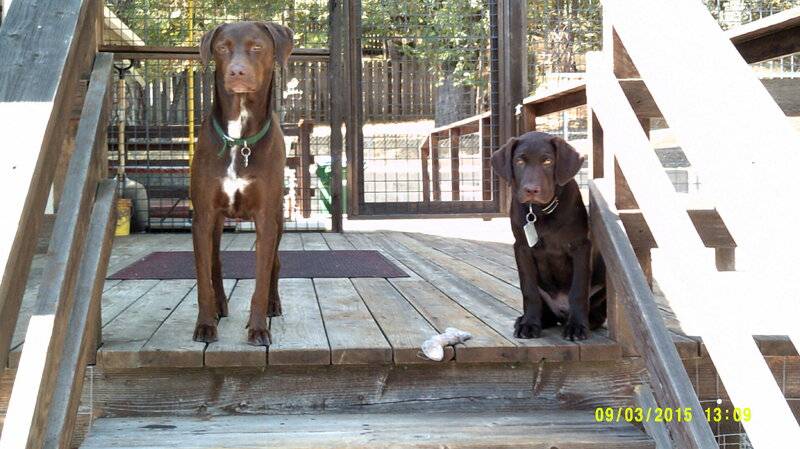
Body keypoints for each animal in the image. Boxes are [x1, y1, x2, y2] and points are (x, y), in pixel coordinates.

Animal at [191, 21, 294, 344]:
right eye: (222, 47)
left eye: (257, 47)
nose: (237, 72)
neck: (239, 139)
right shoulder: (203, 216)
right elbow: (204, 279)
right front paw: (205, 325)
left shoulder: (265, 218)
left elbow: (261, 277)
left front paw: (259, 327)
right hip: (215, 224)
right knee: (215, 262)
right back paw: (220, 306)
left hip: (278, 219)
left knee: (275, 262)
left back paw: (274, 303)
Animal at [488, 130, 608, 340]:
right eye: (519, 161)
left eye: (547, 161)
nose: (531, 190)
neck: (539, 212)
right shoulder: (522, 248)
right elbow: (528, 290)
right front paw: (529, 324)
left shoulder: (581, 247)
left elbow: (578, 290)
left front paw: (577, 326)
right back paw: (532, 320)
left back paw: (584, 321)